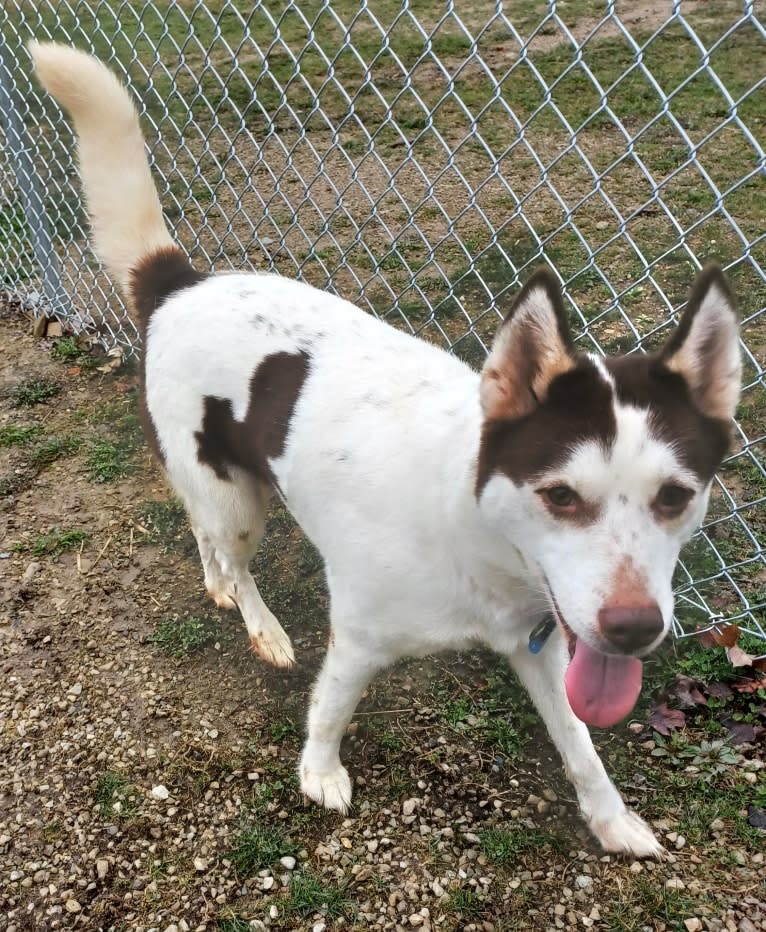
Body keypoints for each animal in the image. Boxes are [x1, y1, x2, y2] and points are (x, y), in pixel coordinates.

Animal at [31, 43, 744, 860]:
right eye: (560, 495)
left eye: (676, 496)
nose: (634, 631)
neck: (470, 529)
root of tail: (178, 280)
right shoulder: (362, 635)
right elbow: (332, 708)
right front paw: (319, 773)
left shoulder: (545, 644)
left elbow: (581, 744)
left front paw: (612, 818)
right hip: (239, 499)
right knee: (233, 553)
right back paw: (263, 627)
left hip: (221, 482)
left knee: (204, 533)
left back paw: (217, 586)